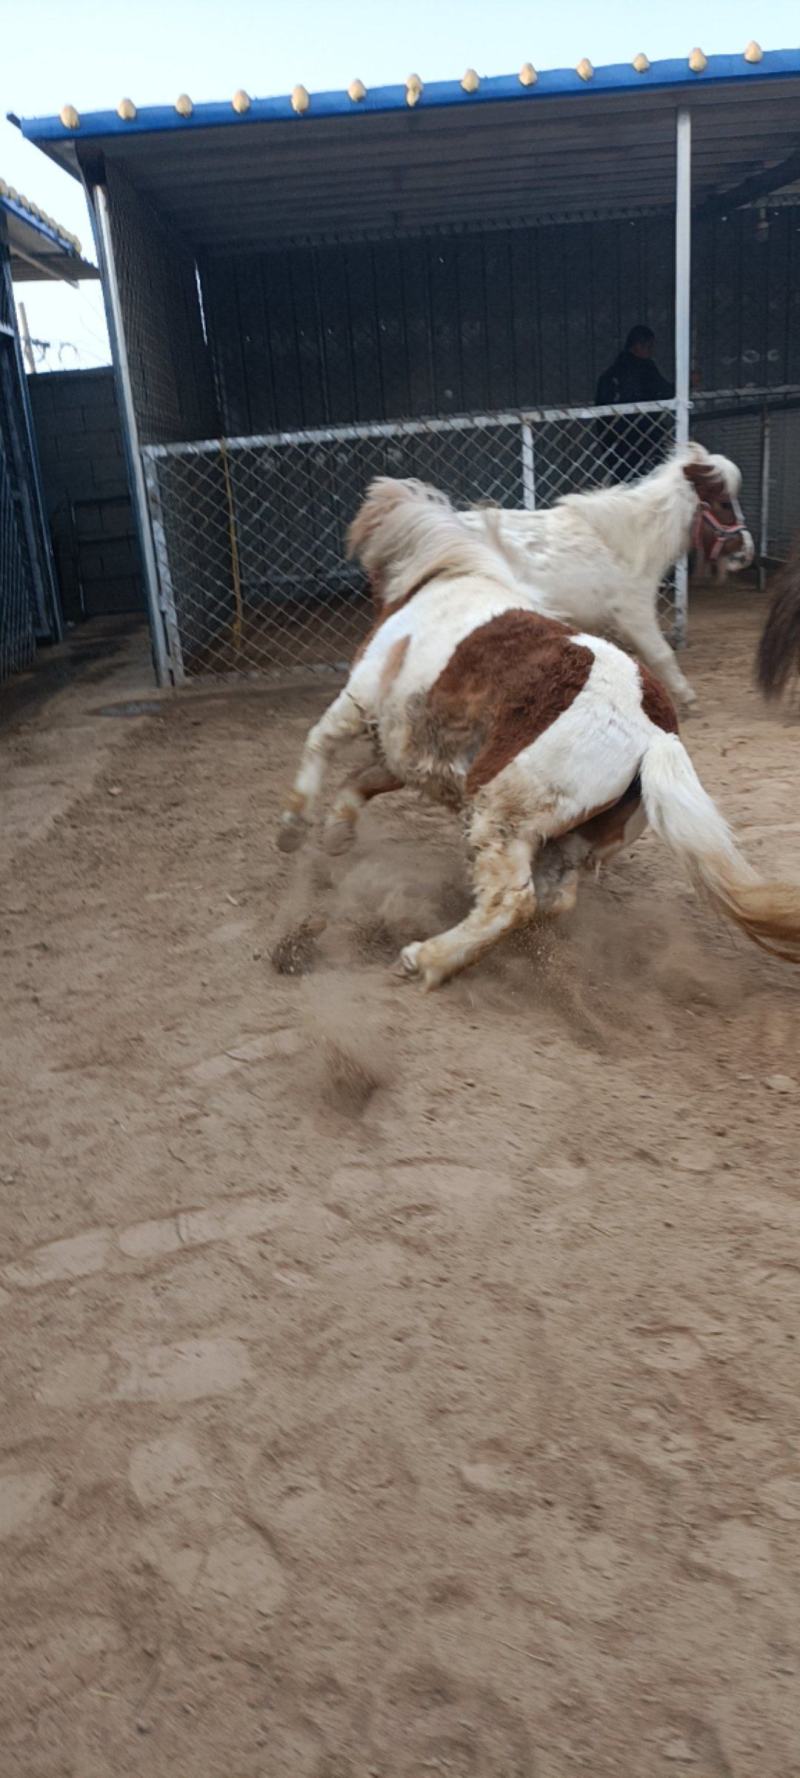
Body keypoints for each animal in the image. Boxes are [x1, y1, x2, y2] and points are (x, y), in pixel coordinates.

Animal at [460, 441, 753, 711]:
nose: (746, 552)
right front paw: (687, 698)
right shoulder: (634, 613)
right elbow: (661, 655)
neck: (625, 544)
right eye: (724, 503)